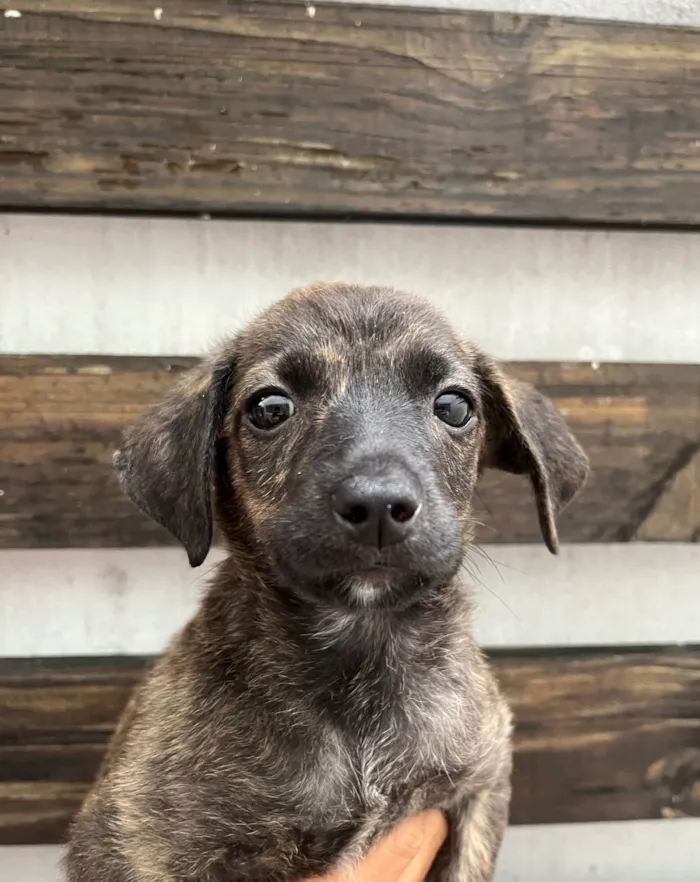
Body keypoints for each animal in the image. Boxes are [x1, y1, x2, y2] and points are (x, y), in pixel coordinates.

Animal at [67, 284, 592, 880]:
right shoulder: (134, 841)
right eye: (270, 408)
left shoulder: (480, 783)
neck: (362, 647)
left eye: (455, 406)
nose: (379, 506)